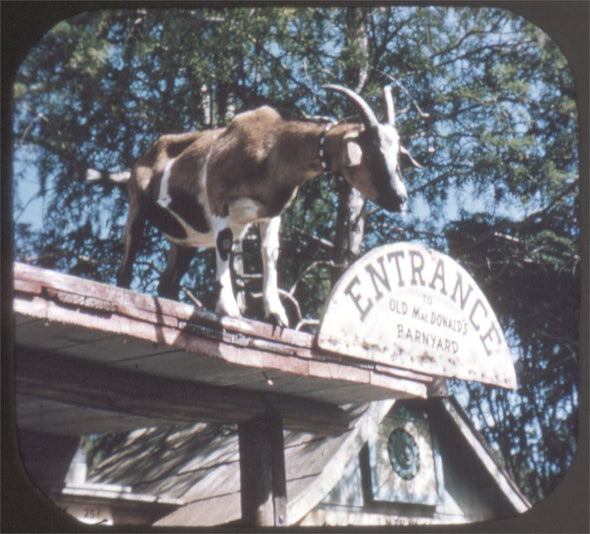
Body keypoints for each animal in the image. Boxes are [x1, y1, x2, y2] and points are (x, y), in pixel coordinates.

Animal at [86, 85, 420, 326]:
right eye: (372, 152)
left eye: (397, 156)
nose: (400, 198)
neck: (273, 147)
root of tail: (135, 165)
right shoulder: (218, 196)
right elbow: (224, 244)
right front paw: (230, 310)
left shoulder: (270, 214)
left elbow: (269, 255)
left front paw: (276, 315)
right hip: (138, 209)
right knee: (125, 268)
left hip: (185, 243)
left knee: (166, 283)